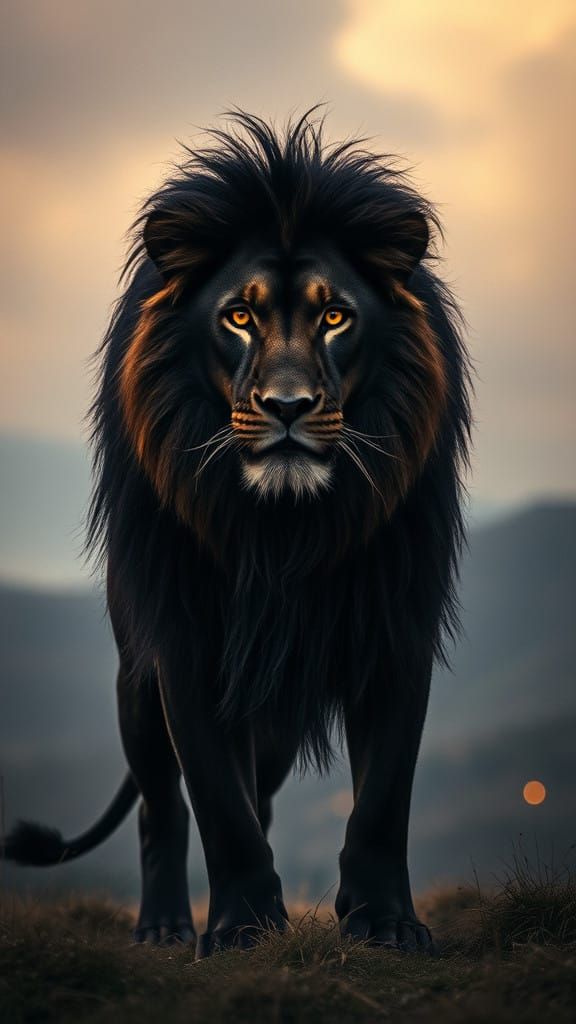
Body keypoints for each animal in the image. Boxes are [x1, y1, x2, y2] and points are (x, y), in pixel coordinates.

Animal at [2, 111, 471, 957]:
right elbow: (220, 803)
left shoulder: (395, 627)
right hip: (136, 684)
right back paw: (161, 926)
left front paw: (385, 921)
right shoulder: (186, 639)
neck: (282, 528)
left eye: (334, 315)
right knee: (160, 805)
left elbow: (382, 797)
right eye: (240, 315)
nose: (287, 406)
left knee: (263, 791)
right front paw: (244, 927)